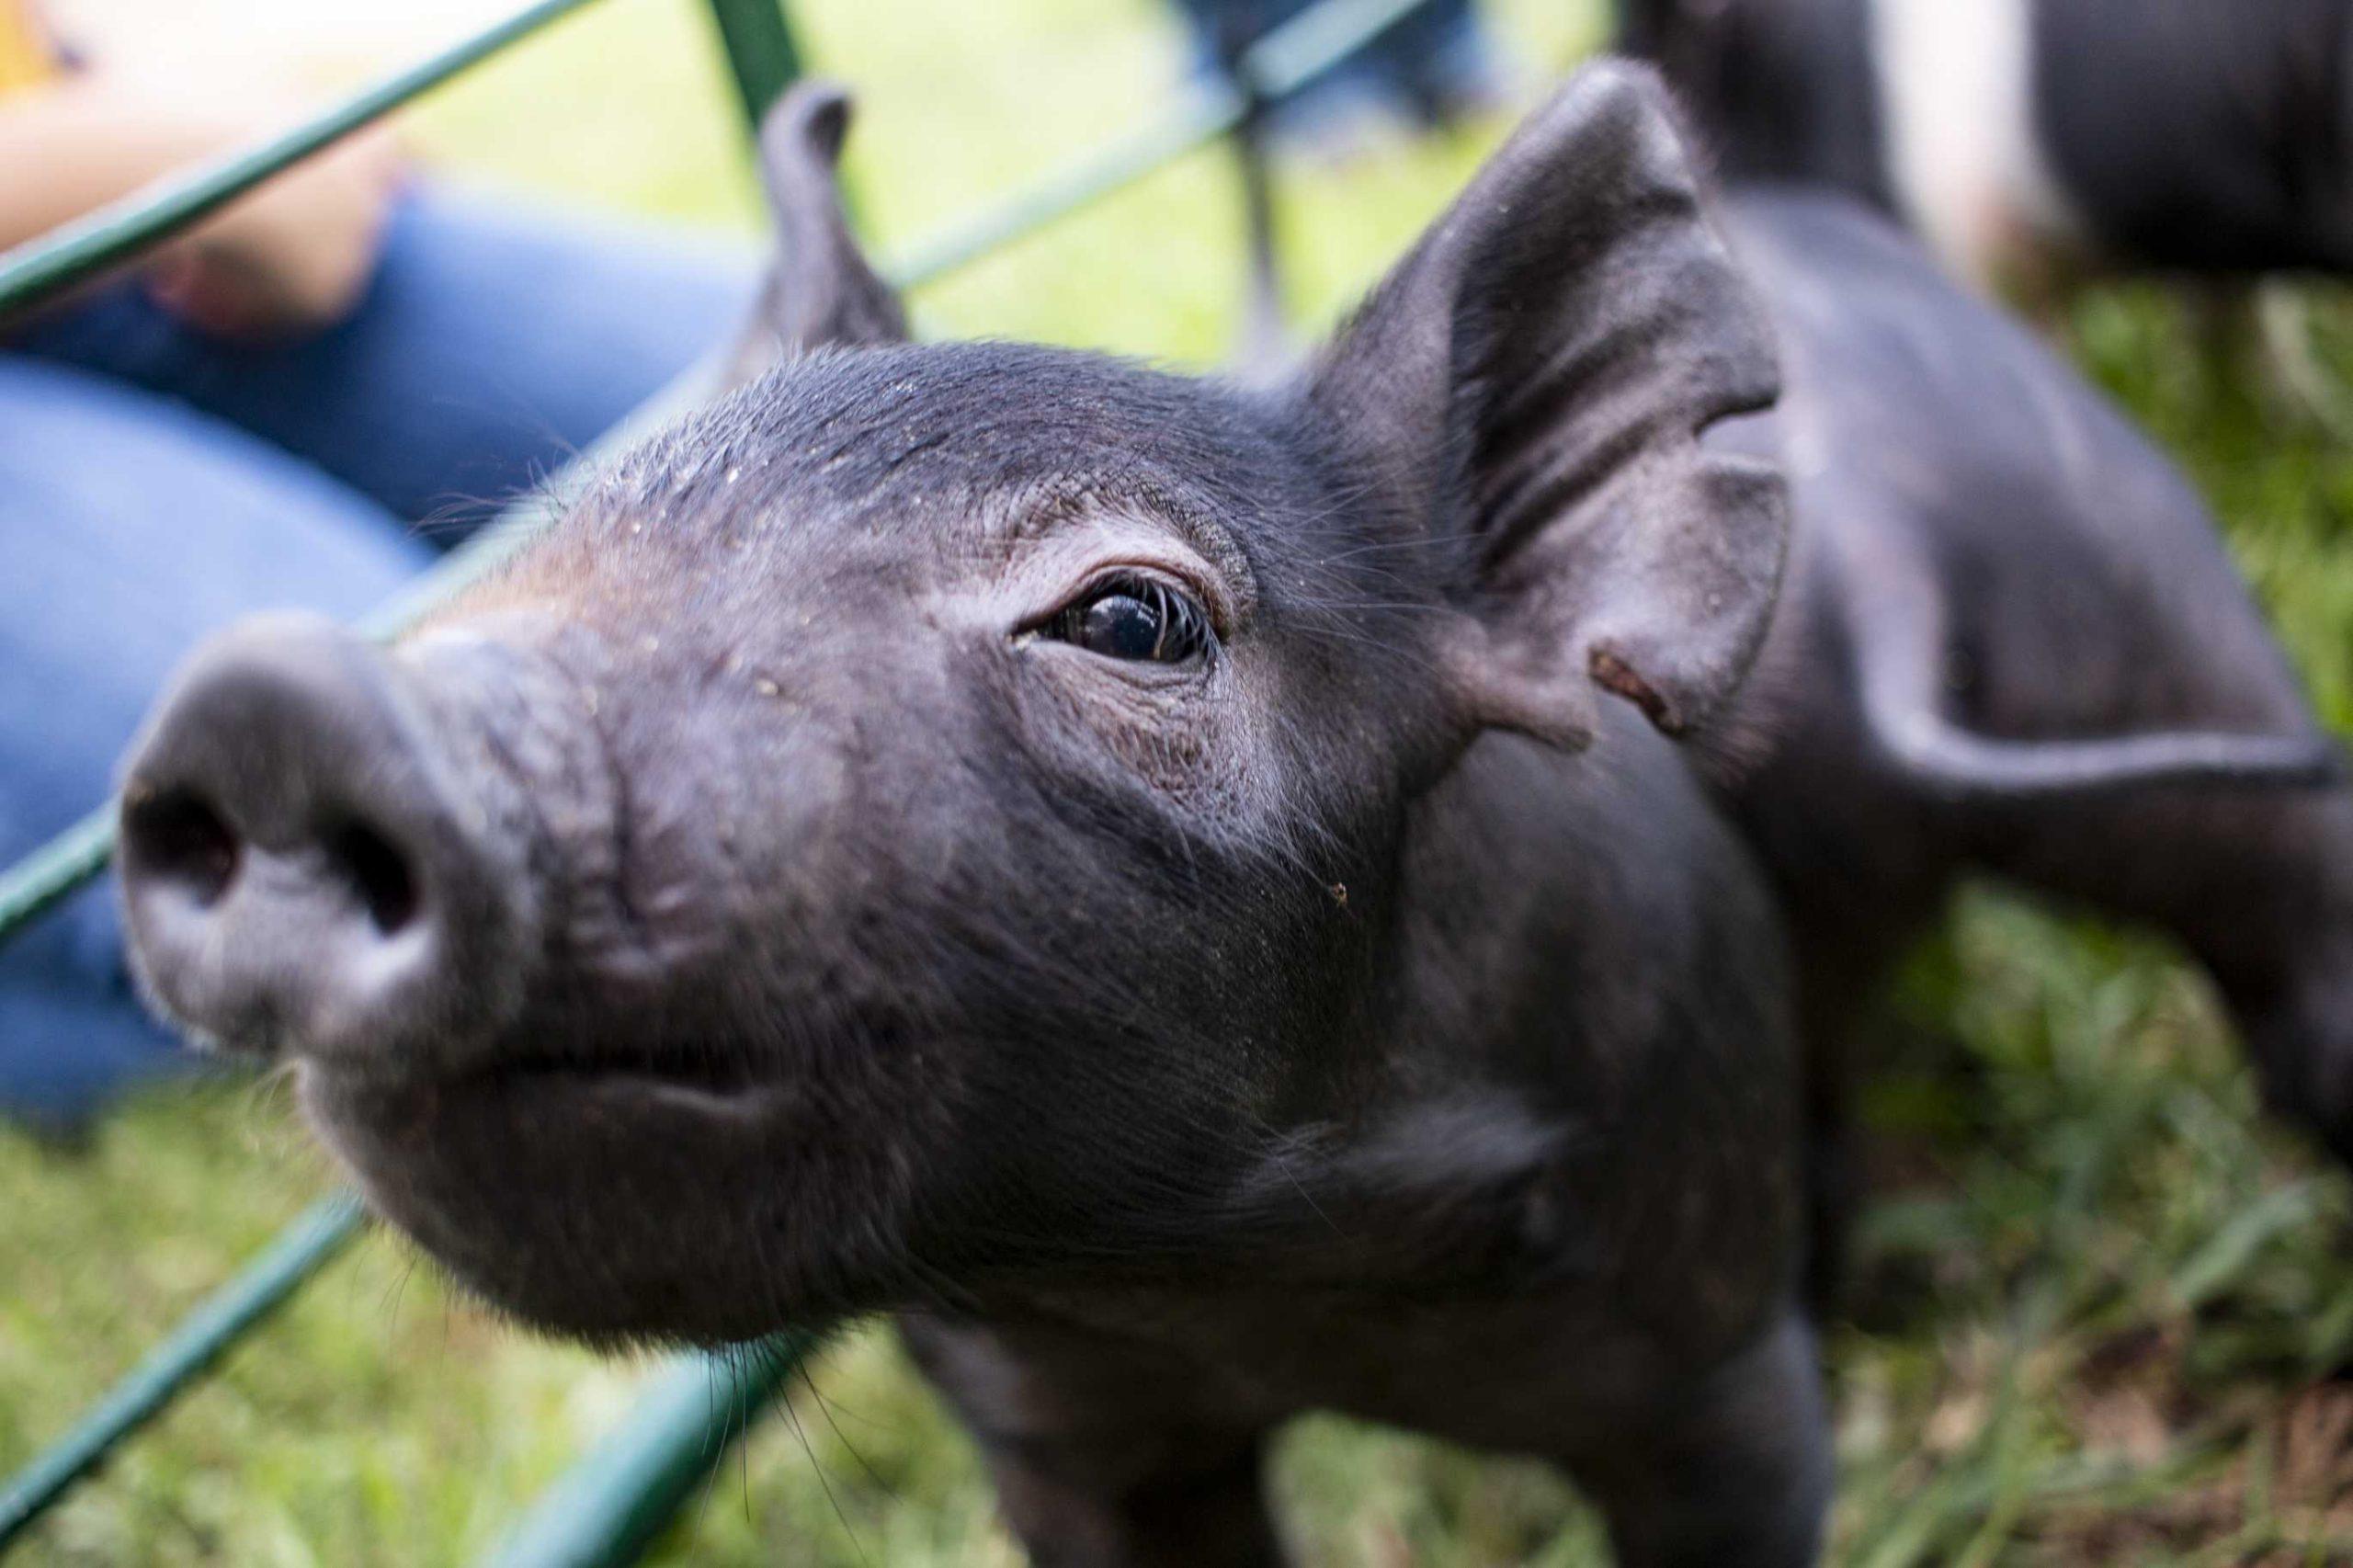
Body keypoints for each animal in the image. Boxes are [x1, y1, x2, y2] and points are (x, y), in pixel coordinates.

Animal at [114, 61, 2353, 1562]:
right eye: (554, 531)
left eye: (1132, 613)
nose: (278, 699)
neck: (1248, 1274)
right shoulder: (1069, 1426)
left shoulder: (1718, 1373)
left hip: (2149, 604)